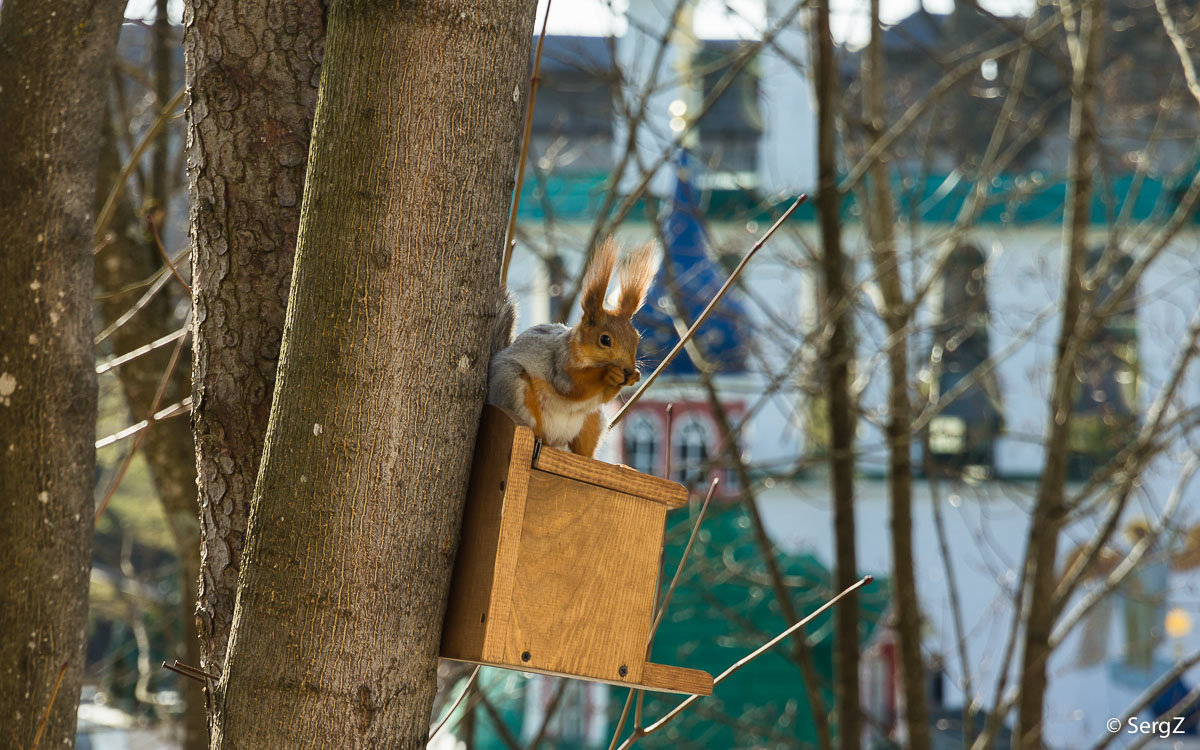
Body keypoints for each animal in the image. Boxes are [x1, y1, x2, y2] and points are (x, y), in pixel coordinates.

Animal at [484, 236, 657, 456]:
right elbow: (572, 387)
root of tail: (555, 439)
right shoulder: (560, 362)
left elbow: (603, 396)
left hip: (592, 420)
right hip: (516, 391)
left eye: (637, 338)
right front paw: (608, 373)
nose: (627, 368)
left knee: (583, 449)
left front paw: (634, 376)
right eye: (605, 340)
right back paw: (539, 439)